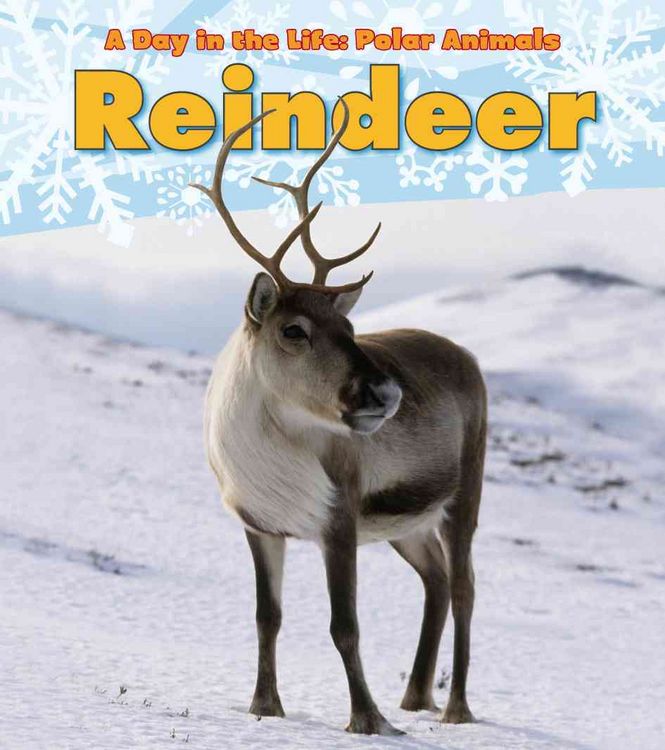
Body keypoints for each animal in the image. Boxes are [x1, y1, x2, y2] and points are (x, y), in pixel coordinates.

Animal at [195, 100, 487, 736]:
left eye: (350, 327)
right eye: (293, 330)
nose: (386, 390)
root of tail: (467, 356)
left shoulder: (340, 518)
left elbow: (344, 625)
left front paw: (369, 720)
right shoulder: (260, 525)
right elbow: (267, 617)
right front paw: (264, 706)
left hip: (463, 496)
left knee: (463, 586)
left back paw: (455, 708)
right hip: (406, 524)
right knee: (434, 579)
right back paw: (415, 696)